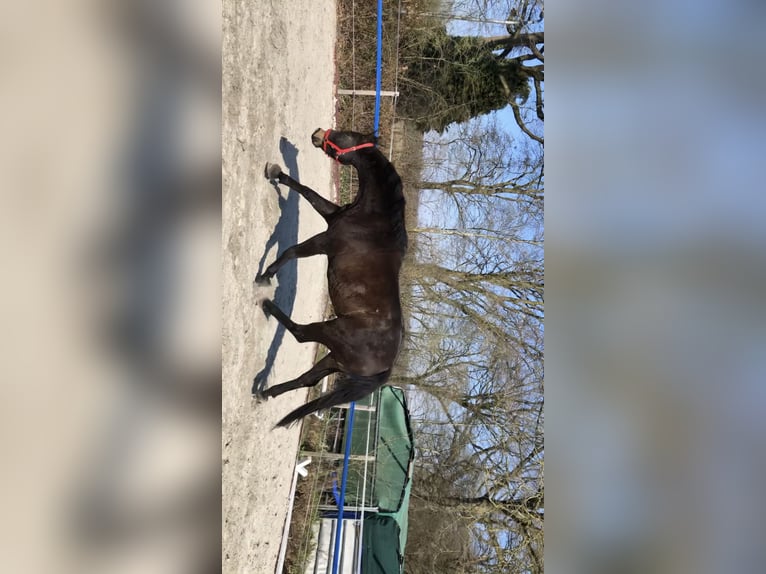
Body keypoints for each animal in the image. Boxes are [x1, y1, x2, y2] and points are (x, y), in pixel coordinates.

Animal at [255, 128, 407, 427]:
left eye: (347, 136)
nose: (317, 134)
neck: (373, 223)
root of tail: (384, 369)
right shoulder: (330, 214)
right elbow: (308, 193)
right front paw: (276, 173)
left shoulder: (325, 242)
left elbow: (291, 251)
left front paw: (265, 275)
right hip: (334, 359)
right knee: (306, 380)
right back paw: (265, 393)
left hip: (331, 333)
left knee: (301, 334)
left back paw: (267, 304)